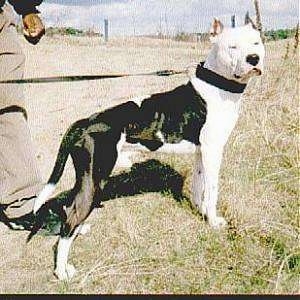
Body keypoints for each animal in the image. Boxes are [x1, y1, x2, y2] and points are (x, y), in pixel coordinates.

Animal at [32, 19, 264, 282]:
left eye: (256, 42)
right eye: (232, 46)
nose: (254, 58)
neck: (217, 85)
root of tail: (84, 122)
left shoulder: (201, 153)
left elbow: (198, 186)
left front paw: (199, 210)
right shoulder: (213, 151)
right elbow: (212, 191)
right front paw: (213, 221)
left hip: (87, 179)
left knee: (69, 207)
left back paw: (78, 232)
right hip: (95, 178)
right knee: (70, 218)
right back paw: (62, 270)